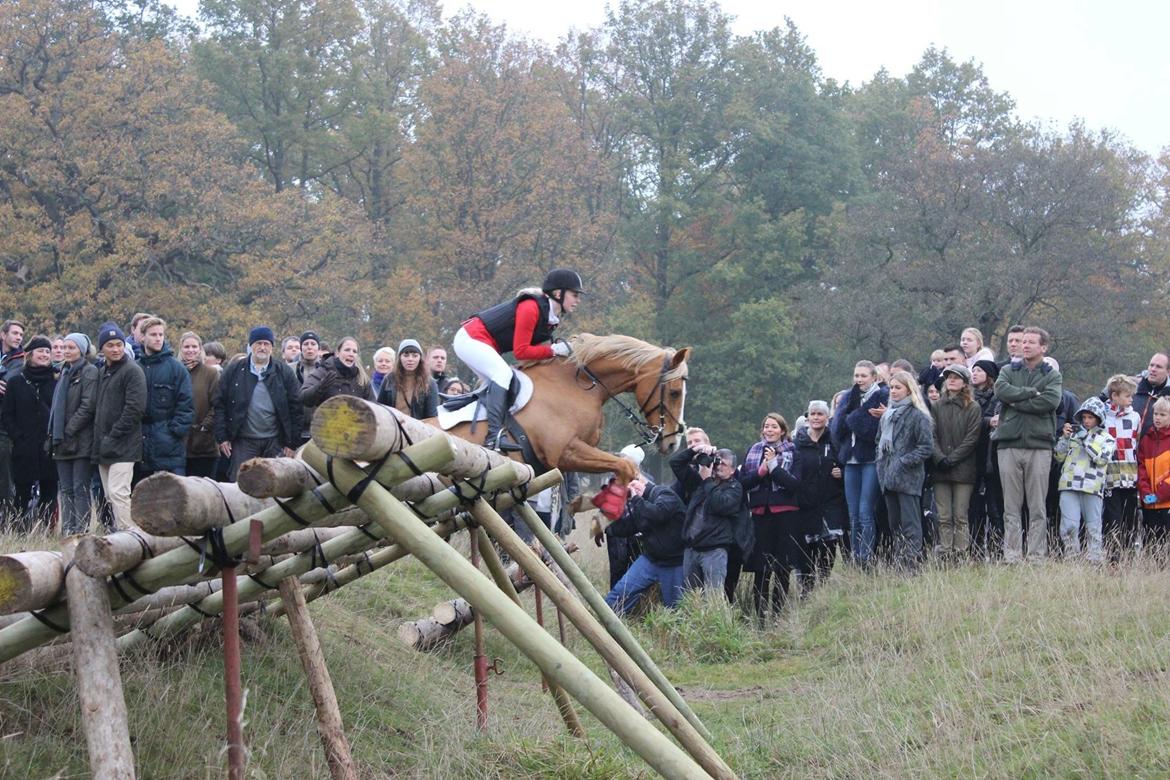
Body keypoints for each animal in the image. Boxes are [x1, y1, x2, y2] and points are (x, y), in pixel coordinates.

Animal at [425, 334, 687, 491]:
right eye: (675, 393)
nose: (672, 443)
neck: (576, 386)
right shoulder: (564, 452)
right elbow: (624, 467)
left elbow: (623, 464)